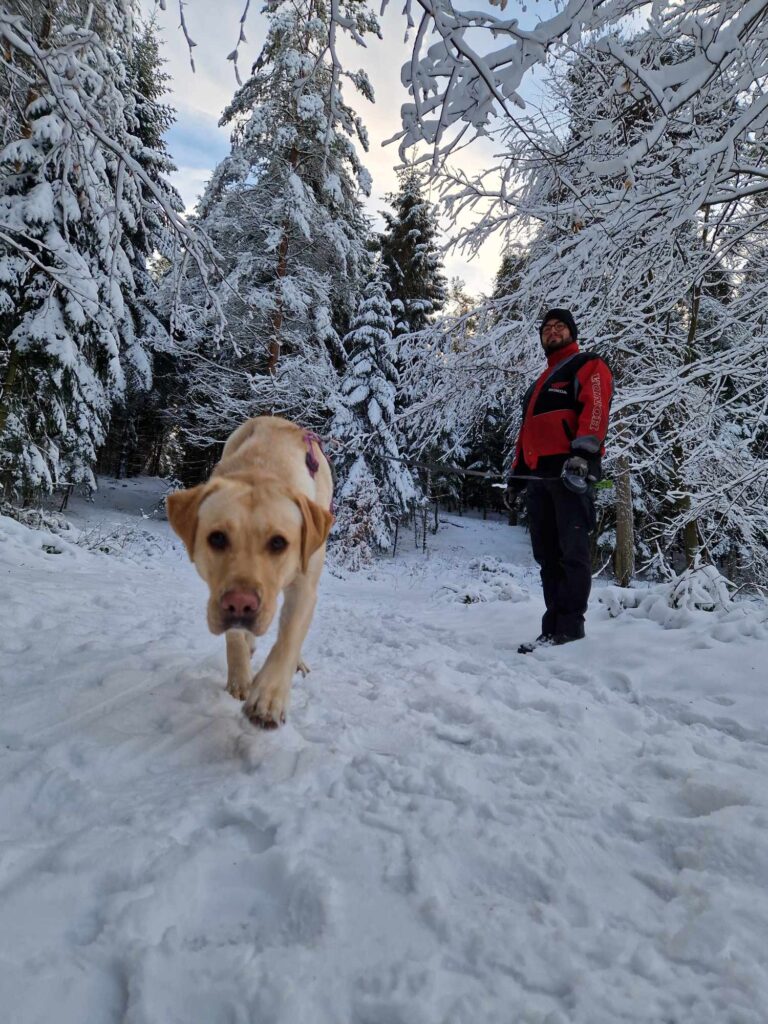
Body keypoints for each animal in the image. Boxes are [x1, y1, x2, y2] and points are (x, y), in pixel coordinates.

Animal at [165, 415, 333, 729]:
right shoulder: (218, 593)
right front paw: (240, 678)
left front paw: (267, 698)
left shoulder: (304, 588)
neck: (262, 468)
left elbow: (288, 640)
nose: (241, 604)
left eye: (278, 542)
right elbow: (234, 636)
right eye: (217, 538)